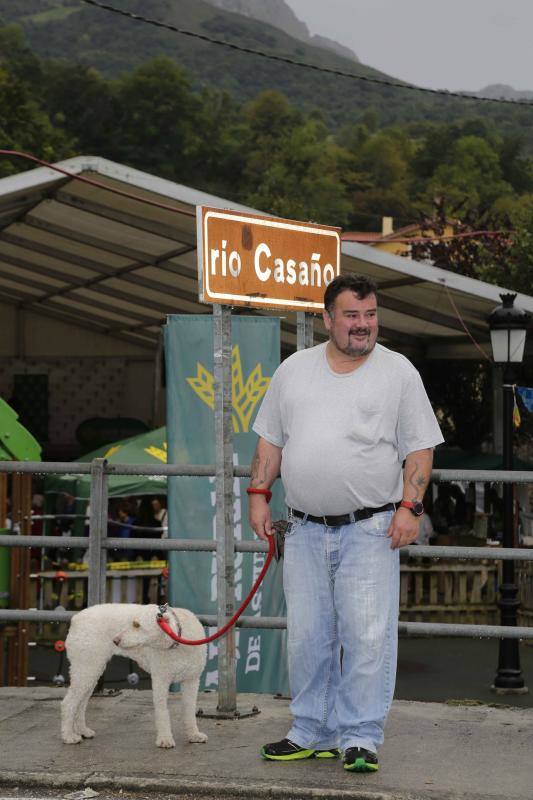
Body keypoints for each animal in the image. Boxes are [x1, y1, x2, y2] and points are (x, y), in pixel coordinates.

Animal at [60, 608, 206, 752]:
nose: (115, 640)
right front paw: (164, 739)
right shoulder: (160, 680)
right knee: (69, 703)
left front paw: (194, 735)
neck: (179, 642)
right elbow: (162, 713)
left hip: (91, 672)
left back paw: (83, 731)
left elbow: (189, 710)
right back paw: (68, 736)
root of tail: (76, 618)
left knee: (81, 703)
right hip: (85, 669)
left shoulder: (192, 681)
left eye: (136, 625)